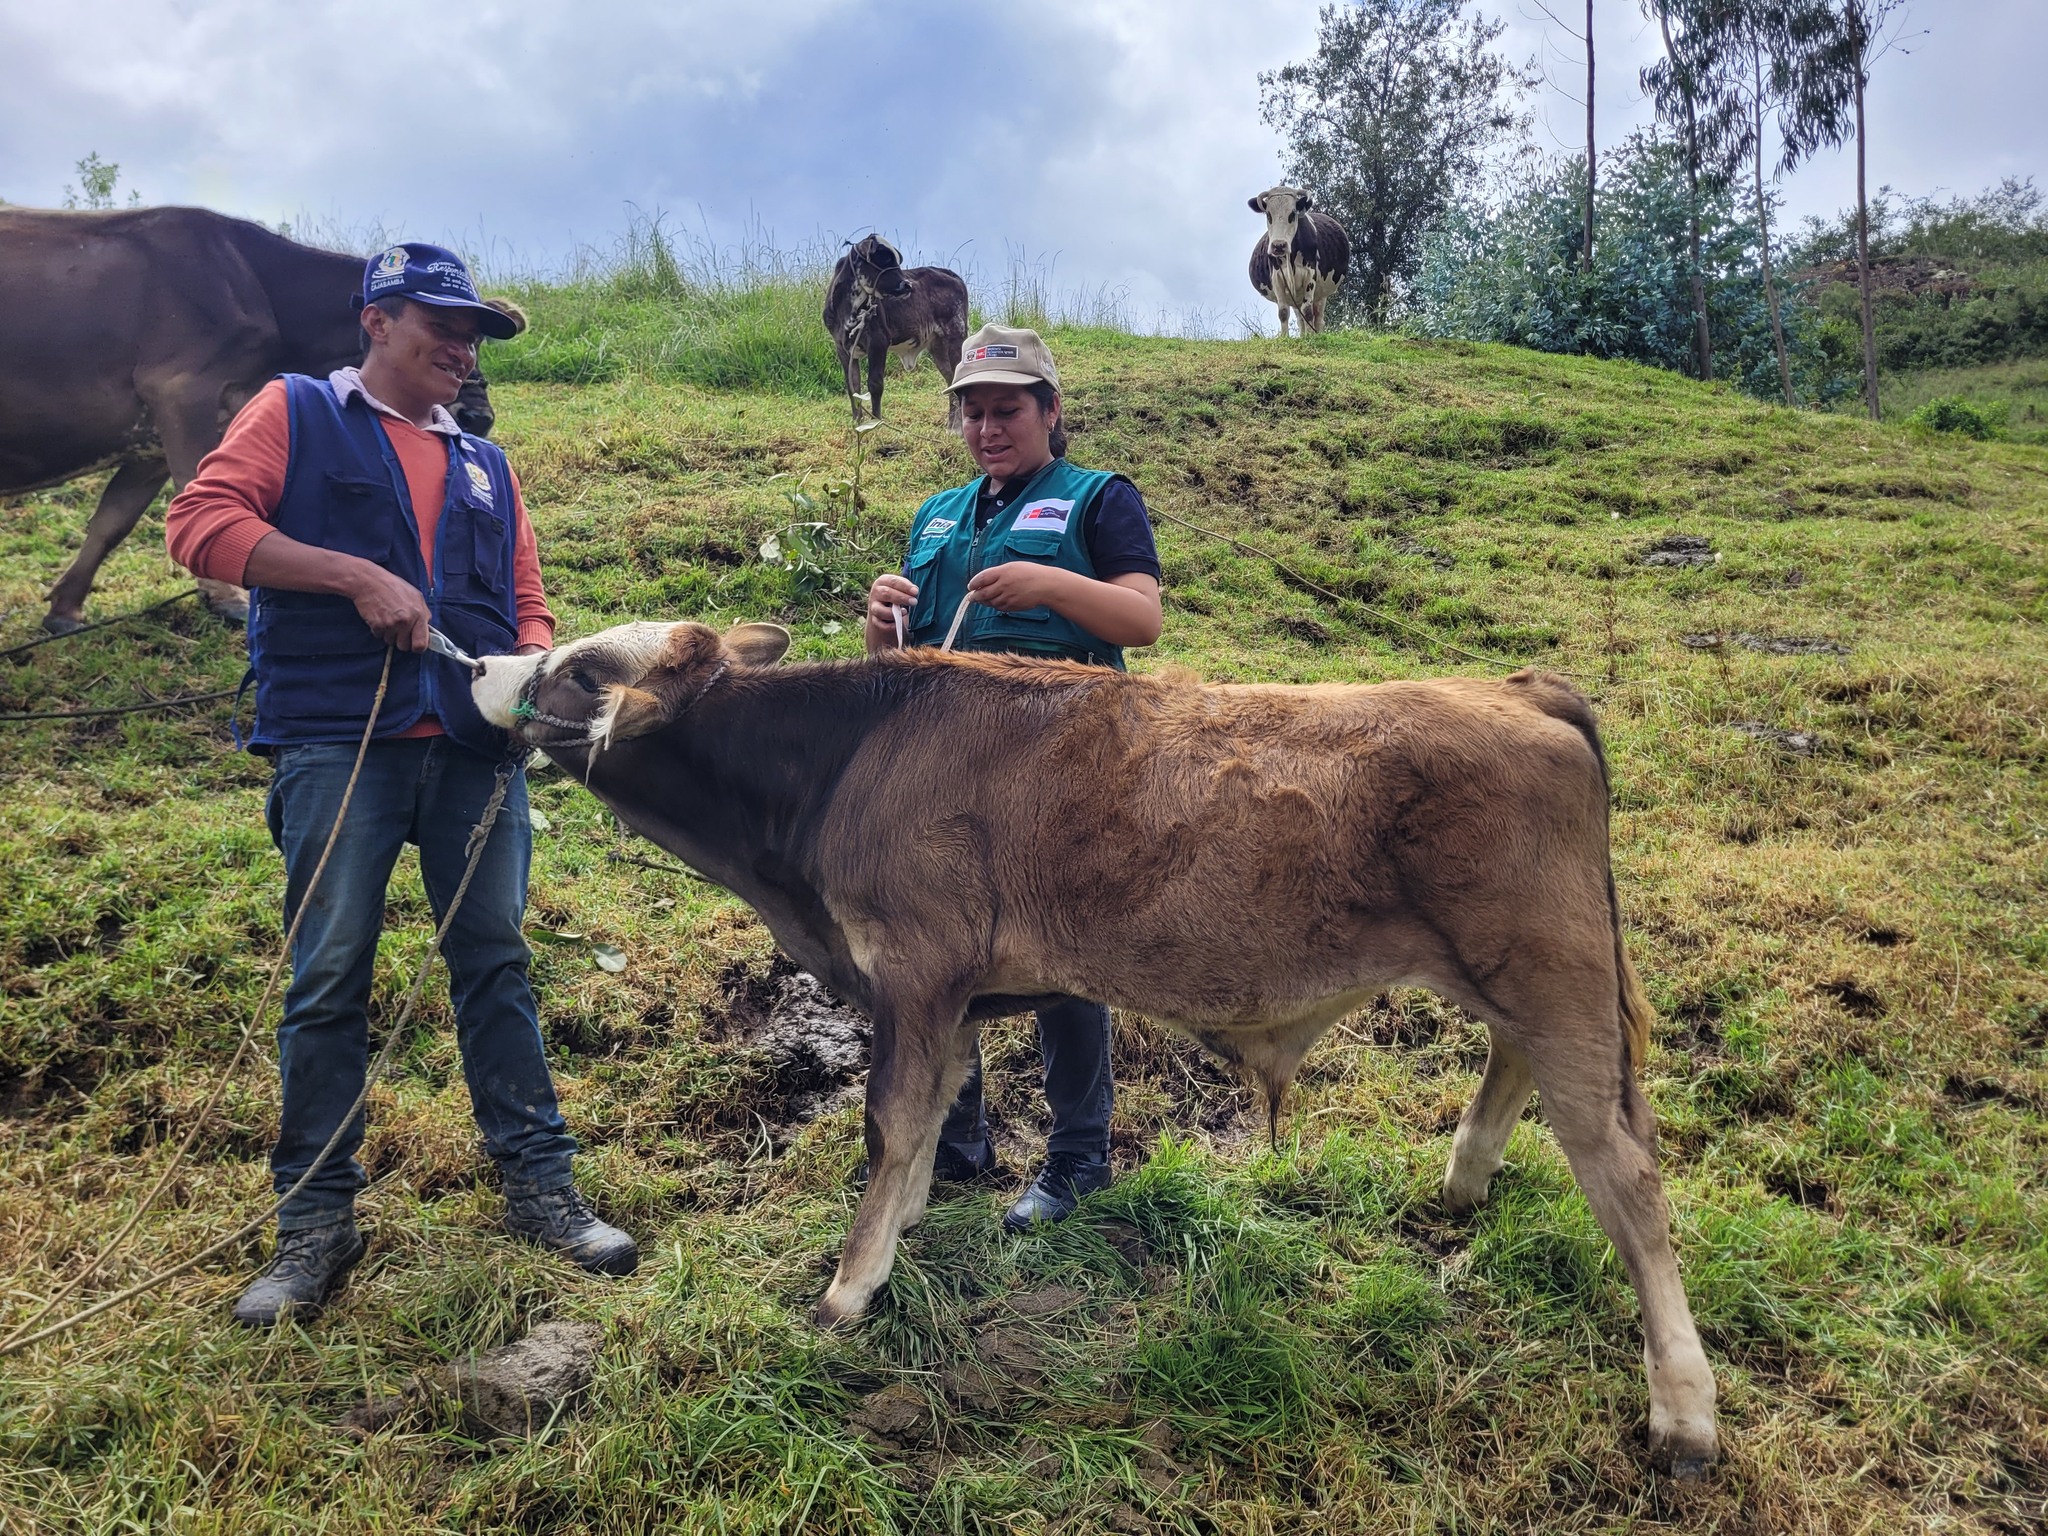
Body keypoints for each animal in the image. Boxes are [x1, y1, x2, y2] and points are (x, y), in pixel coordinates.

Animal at [0, 207, 512, 634]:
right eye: (447, 331)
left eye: (478, 338)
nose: (479, 415)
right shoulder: (182, 391)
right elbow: (193, 491)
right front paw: (228, 598)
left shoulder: (149, 439)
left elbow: (112, 520)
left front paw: (65, 610)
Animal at [471, 622, 1720, 1482]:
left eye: (582, 668)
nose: (483, 664)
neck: (840, 765)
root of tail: (1515, 687)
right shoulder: (950, 994)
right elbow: (933, 1113)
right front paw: (911, 1221)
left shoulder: (913, 968)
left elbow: (888, 1121)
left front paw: (848, 1288)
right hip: (1520, 976)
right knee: (1521, 1081)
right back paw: (1461, 1179)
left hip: (1556, 976)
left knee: (1627, 1177)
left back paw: (1683, 1410)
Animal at [819, 234, 970, 428]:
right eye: (884, 258)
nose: (907, 285)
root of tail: (950, 274)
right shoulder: (842, 348)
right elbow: (853, 387)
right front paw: (857, 423)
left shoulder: (878, 342)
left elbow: (875, 384)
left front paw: (876, 423)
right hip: (938, 346)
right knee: (951, 381)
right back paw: (952, 427)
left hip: (956, 334)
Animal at [1236, 186, 1351, 335]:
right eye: (1268, 215)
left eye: (1292, 214)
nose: (1279, 245)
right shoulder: (1277, 278)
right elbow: (1283, 312)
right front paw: (1285, 337)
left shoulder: (1310, 275)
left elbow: (1308, 311)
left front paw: (1311, 336)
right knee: (1300, 318)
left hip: (1321, 293)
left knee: (1318, 317)